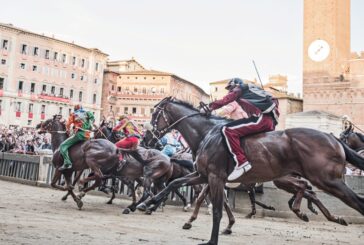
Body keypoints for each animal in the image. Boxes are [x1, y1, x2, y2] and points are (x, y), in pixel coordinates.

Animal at [139, 97, 364, 245]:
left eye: (154, 113)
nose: (146, 138)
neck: (207, 133)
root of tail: (333, 139)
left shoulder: (215, 177)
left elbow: (217, 209)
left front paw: (212, 238)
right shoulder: (203, 175)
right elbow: (174, 183)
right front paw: (147, 203)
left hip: (327, 180)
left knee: (352, 200)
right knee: (309, 190)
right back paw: (316, 213)